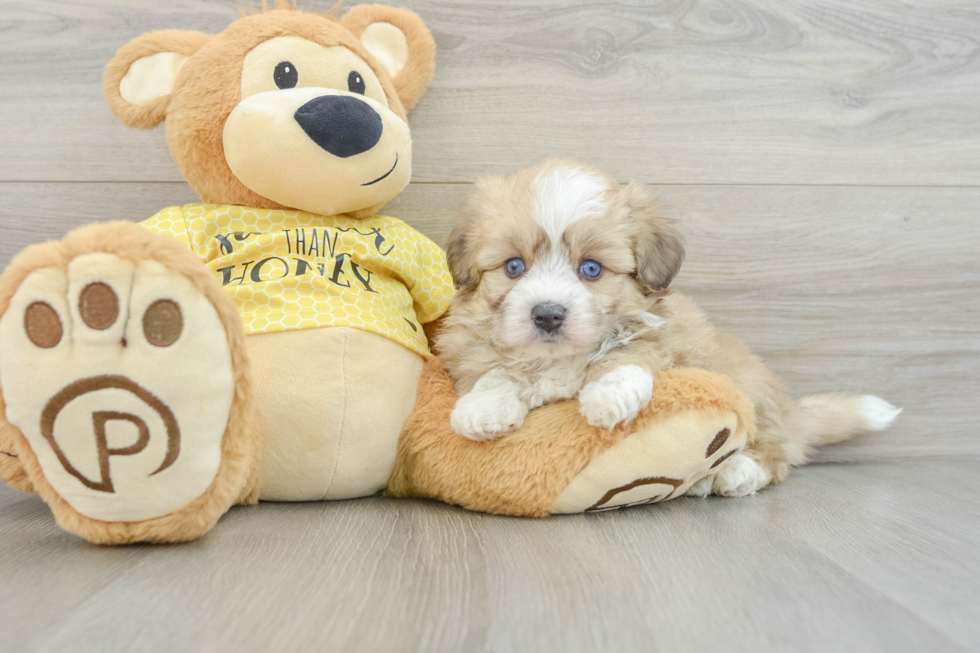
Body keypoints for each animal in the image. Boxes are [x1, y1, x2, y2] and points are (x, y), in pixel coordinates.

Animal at [432, 158, 900, 494]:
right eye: (514, 266)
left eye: (591, 268)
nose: (547, 314)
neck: (559, 359)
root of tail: (789, 410)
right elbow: (497, 372)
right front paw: (482, 407)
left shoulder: (661, 336)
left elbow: (626, 354)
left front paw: (608, 396)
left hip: (751, 389)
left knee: (776, 449)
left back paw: (737, 471)